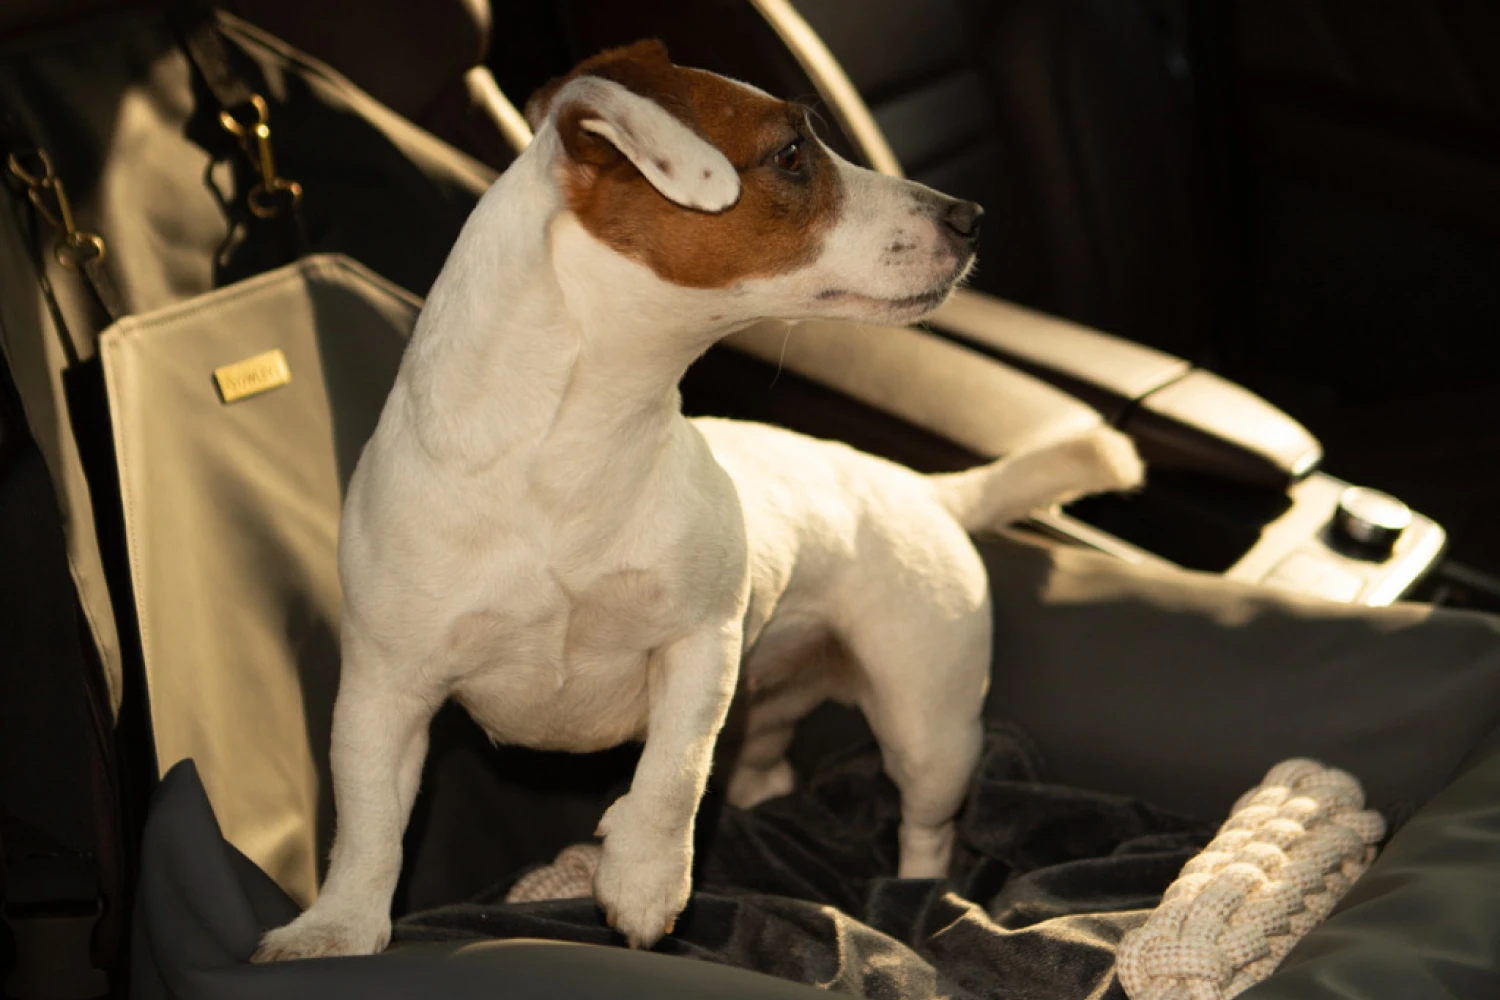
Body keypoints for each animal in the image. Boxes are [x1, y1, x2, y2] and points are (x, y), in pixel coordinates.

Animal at [255, 41, 1146, 959]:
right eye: (791, 153)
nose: (970, 217)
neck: (572, 452)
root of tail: (919, 487)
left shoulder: (701, 643)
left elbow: (674, 772)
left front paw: (646, 877)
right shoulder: (383, 689)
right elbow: (370, 822)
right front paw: (335, 928)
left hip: (929, 722)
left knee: (924, 825)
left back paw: (913, 894)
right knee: (770, 768)